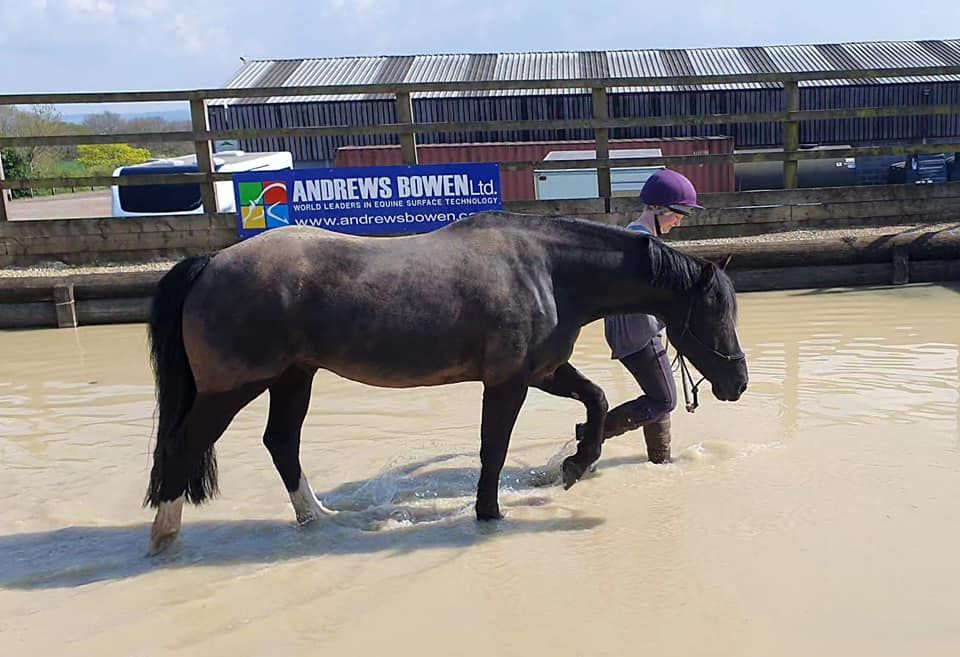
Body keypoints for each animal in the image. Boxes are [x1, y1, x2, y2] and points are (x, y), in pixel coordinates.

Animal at [141, 210, 752, 552]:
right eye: (714, 313)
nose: (739, 382)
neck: (548, 270)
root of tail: (210, 263)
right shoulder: (507, 382)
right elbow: (493, 449)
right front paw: (490, 514)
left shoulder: (541, 372)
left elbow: (597, 401)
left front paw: (574, 465)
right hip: (231, 390)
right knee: (183, 447)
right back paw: (164, 539)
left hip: (294, 377)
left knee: (281, 444)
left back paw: (319, 517)